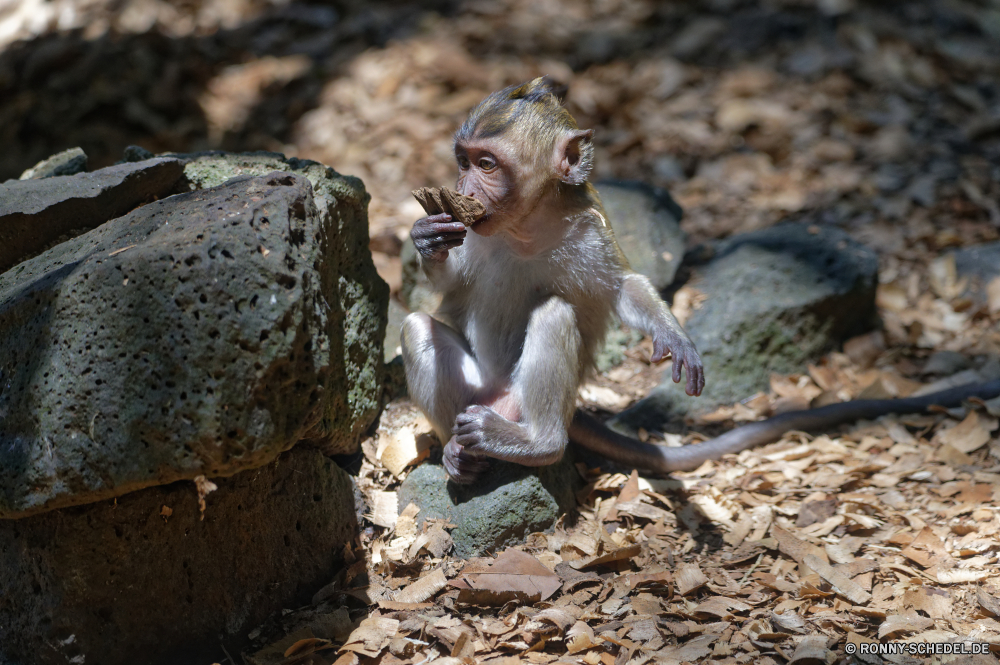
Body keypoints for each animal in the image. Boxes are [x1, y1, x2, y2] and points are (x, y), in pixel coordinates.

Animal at [402, 78, 1000, 482]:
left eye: (485, 164)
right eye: (462, 161)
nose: (459, 185)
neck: (525, 226)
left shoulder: (589, 228)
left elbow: (623, 287)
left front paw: (677, 336)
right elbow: (446, 291)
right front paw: (427, 237)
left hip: (524, 402)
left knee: (553, 313)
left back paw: (536, 445)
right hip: (480, 393)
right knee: (416, 328)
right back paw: (458, 450)